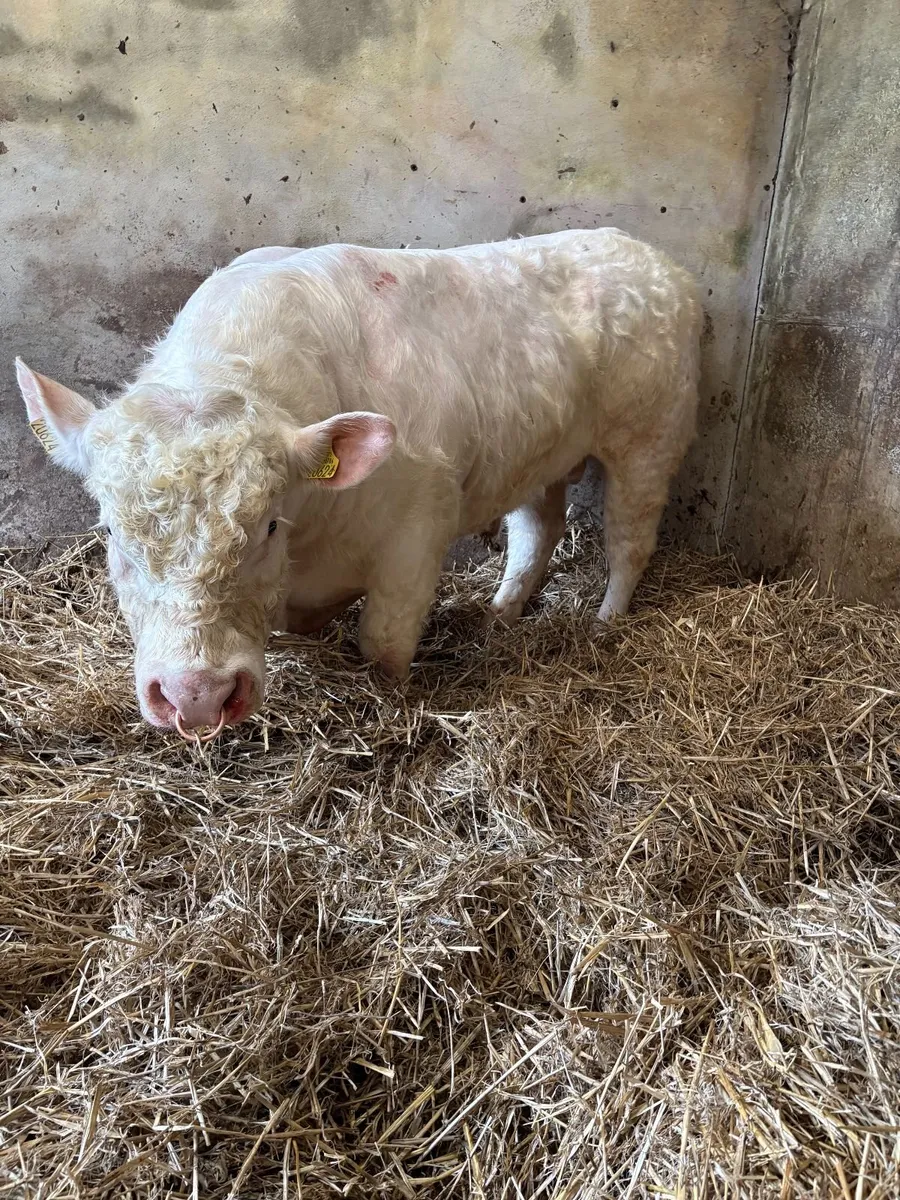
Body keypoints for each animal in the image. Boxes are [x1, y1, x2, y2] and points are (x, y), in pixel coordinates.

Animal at [16, 229, 701, 739]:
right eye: (111, 532)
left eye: (268, 525)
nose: (199, 696)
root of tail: (657, 260)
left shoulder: (419, 530)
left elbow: (384, 644)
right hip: (542, 454)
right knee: (538, 530)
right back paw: (501, 615)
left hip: (649, 439)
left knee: (628, 541)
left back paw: (606, 624)